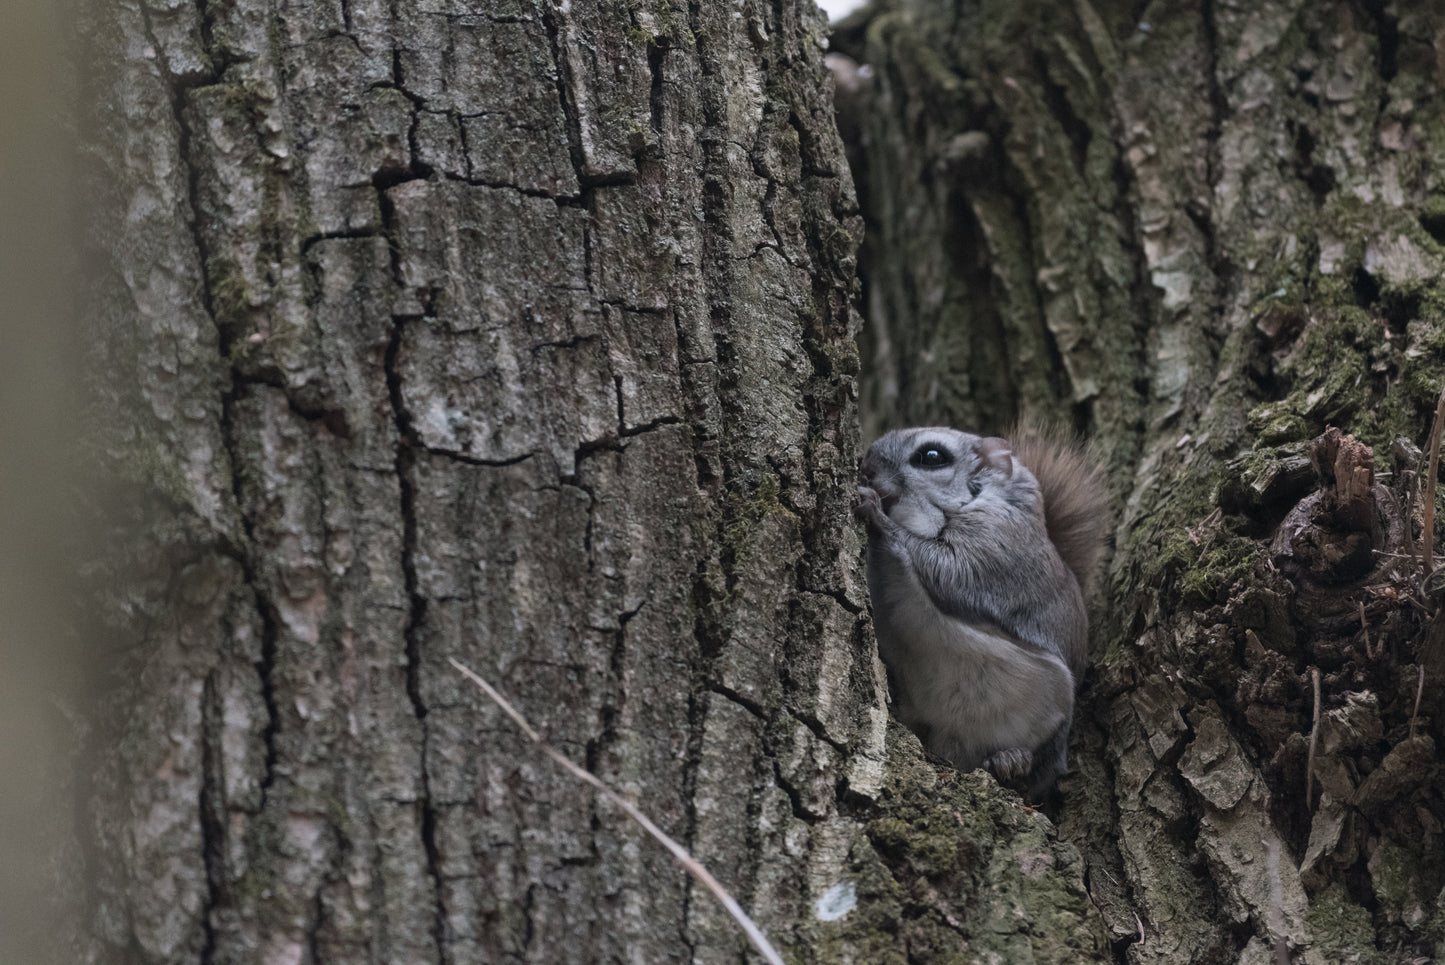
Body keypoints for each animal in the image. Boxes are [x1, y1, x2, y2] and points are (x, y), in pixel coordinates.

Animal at [854, 424, 1109, 797]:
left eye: (931, 457)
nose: (867, 466)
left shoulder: (997, 547)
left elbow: (946, 570)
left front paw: (876, 512)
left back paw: (1013, 761)